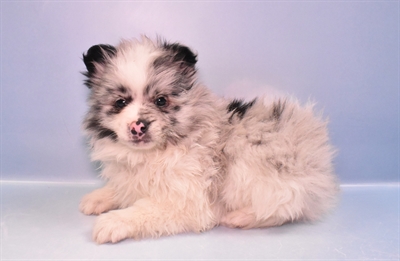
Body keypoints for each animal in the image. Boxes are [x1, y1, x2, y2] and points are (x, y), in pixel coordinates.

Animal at [78, 35, 338, 243]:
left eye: (161, 101)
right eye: (120, 103)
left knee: (286, 206)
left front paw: (113, 222)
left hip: (253, 161)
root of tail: (318, 160)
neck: (152, 153)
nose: (138, 126)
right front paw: (100, 197)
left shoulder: (187, 201)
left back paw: (241, 217)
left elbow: (144, 209)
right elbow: (124, 188)